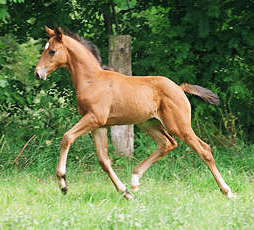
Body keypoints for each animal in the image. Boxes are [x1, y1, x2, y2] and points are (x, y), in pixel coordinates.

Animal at [34, 26, 235, 199]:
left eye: (52, 51)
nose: (38, 74)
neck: (92, 80)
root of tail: (179, 87)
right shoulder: (98, 125)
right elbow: (104, 160)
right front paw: (125, 192)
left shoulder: (94, 118)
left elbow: (67, 137)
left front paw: (63, 183)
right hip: (148, 123)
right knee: (167, 143)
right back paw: (135, 180)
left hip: (179, 125)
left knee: (204, 149)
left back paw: (227, 191)